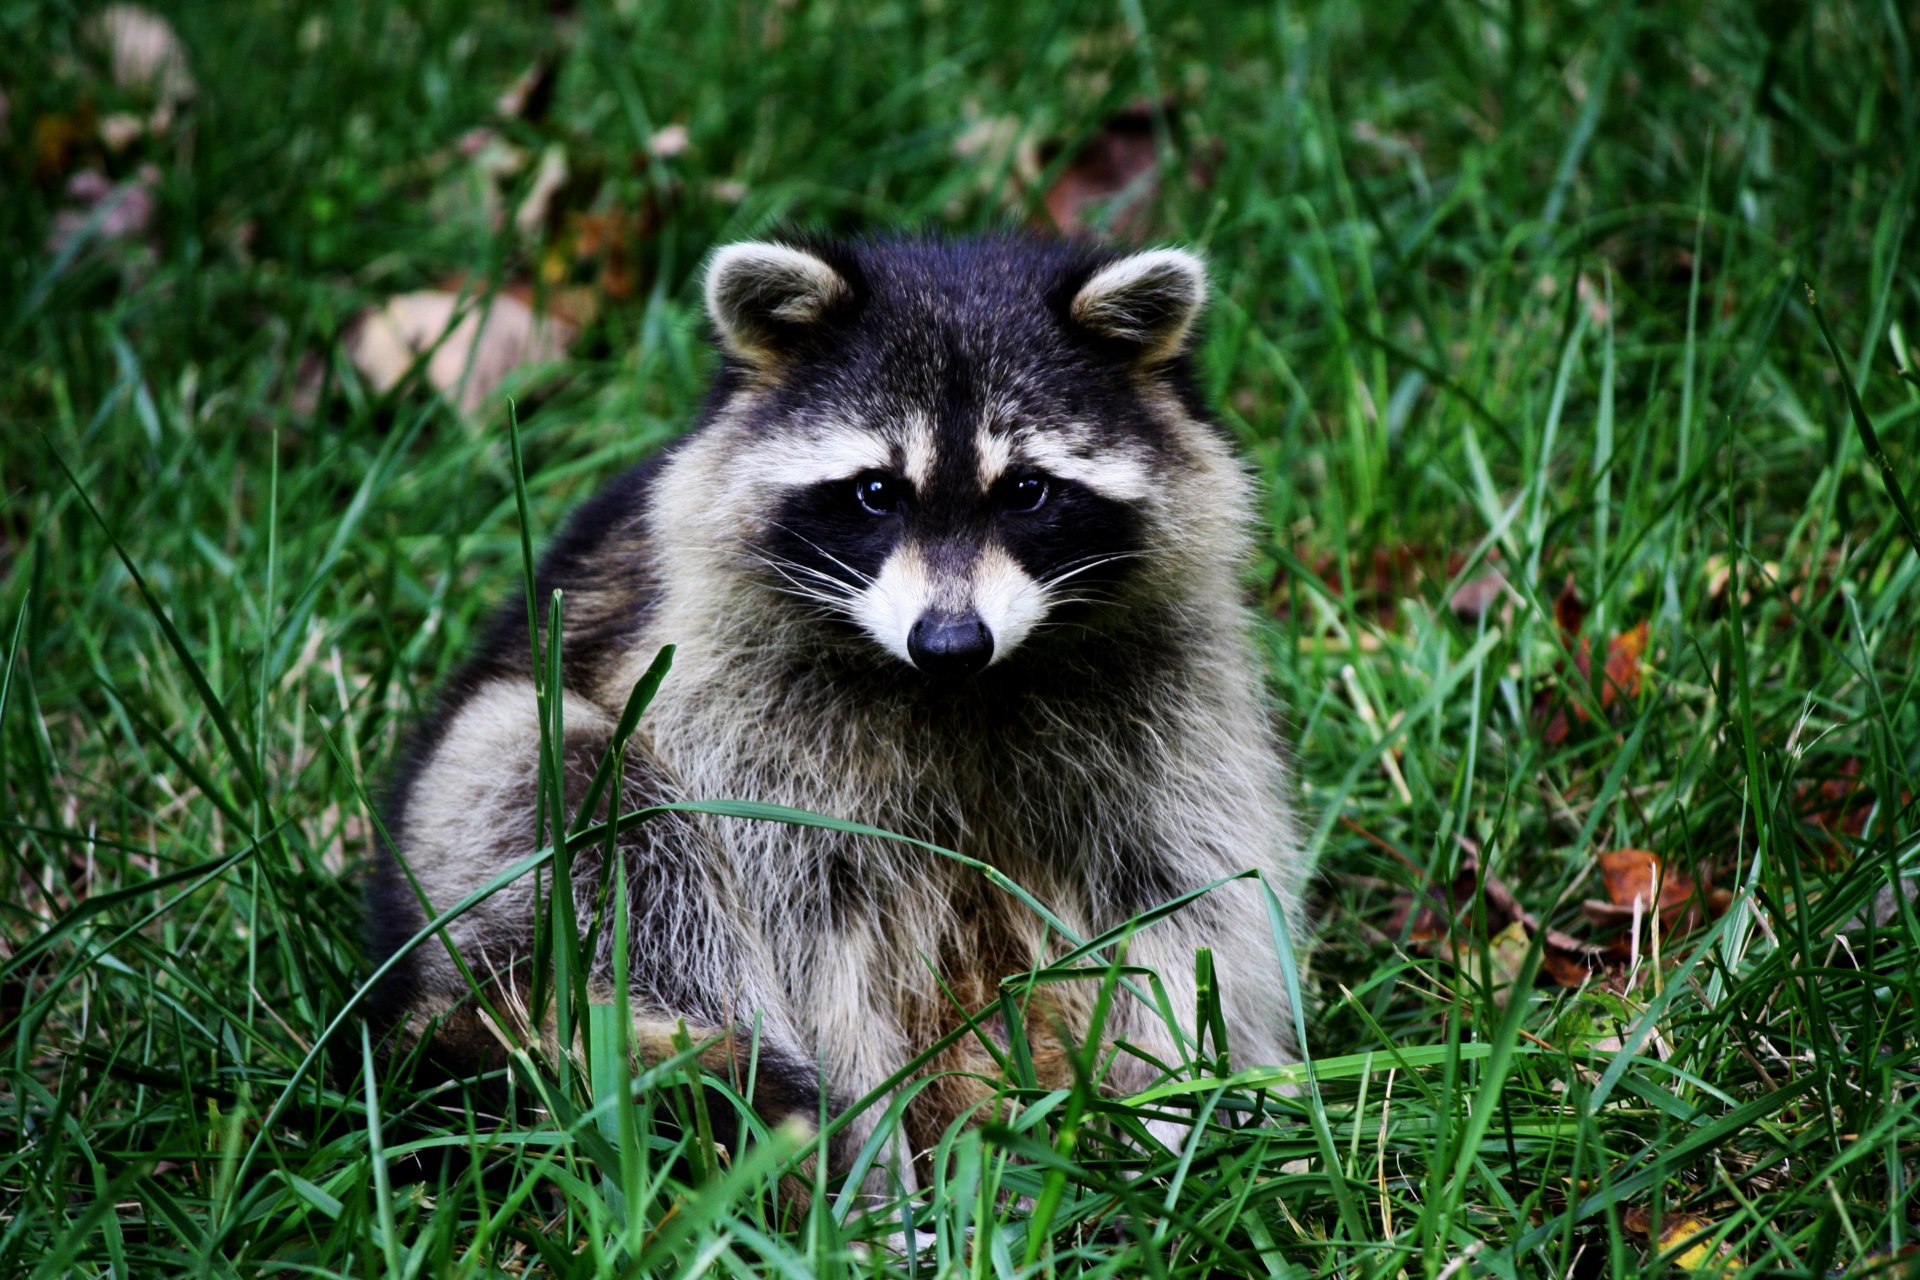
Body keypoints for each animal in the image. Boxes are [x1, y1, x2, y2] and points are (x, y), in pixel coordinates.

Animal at [362, 235, 1305, 1189]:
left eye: (1027, 491)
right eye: (877, 492)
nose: (951, 641)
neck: (961, 690)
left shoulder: (1167, 708)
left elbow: (1184, 908)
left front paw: (1181, 1116)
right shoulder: (746, 724)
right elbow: (811, 949)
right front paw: (870, 1175)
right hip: (476, 820)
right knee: (595, 805)